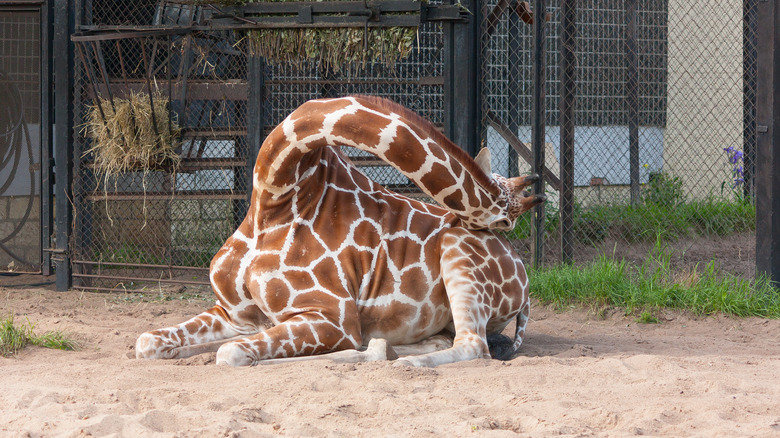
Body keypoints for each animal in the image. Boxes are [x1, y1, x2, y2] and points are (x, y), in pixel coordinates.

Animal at [134, 95, 544, 366]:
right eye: (507, 219)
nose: (500, 230)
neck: (274, 196)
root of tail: (524, 284)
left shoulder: (333, 316)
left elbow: (231, 352)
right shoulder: (233, 313)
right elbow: (146, 341)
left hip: (458, 254)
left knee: (476, 346)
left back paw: (399, 362)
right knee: (439, 340)